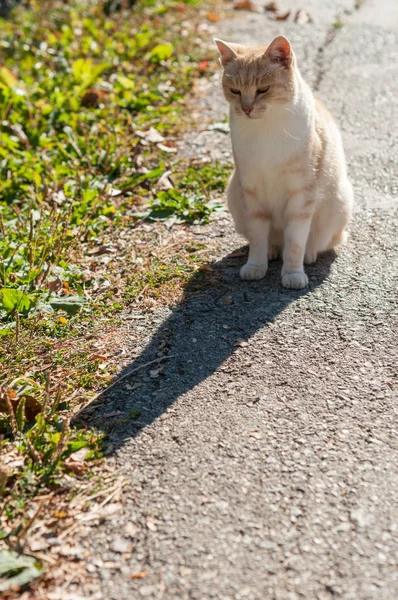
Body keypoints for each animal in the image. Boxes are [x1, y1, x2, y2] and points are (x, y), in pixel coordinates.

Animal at [215, 36, 352, 290]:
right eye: (235, 91)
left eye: (263, 90)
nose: (246, 109)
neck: (266, 127)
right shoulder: (252, 192)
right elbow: (257, 237)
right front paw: (256, 265)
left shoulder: (301, 196)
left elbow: (295, 242)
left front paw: (293, 273)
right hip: (234, 196)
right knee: (273, 242)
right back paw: (272, 251)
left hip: (340, 203)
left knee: (313, 243)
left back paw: (308, 255)